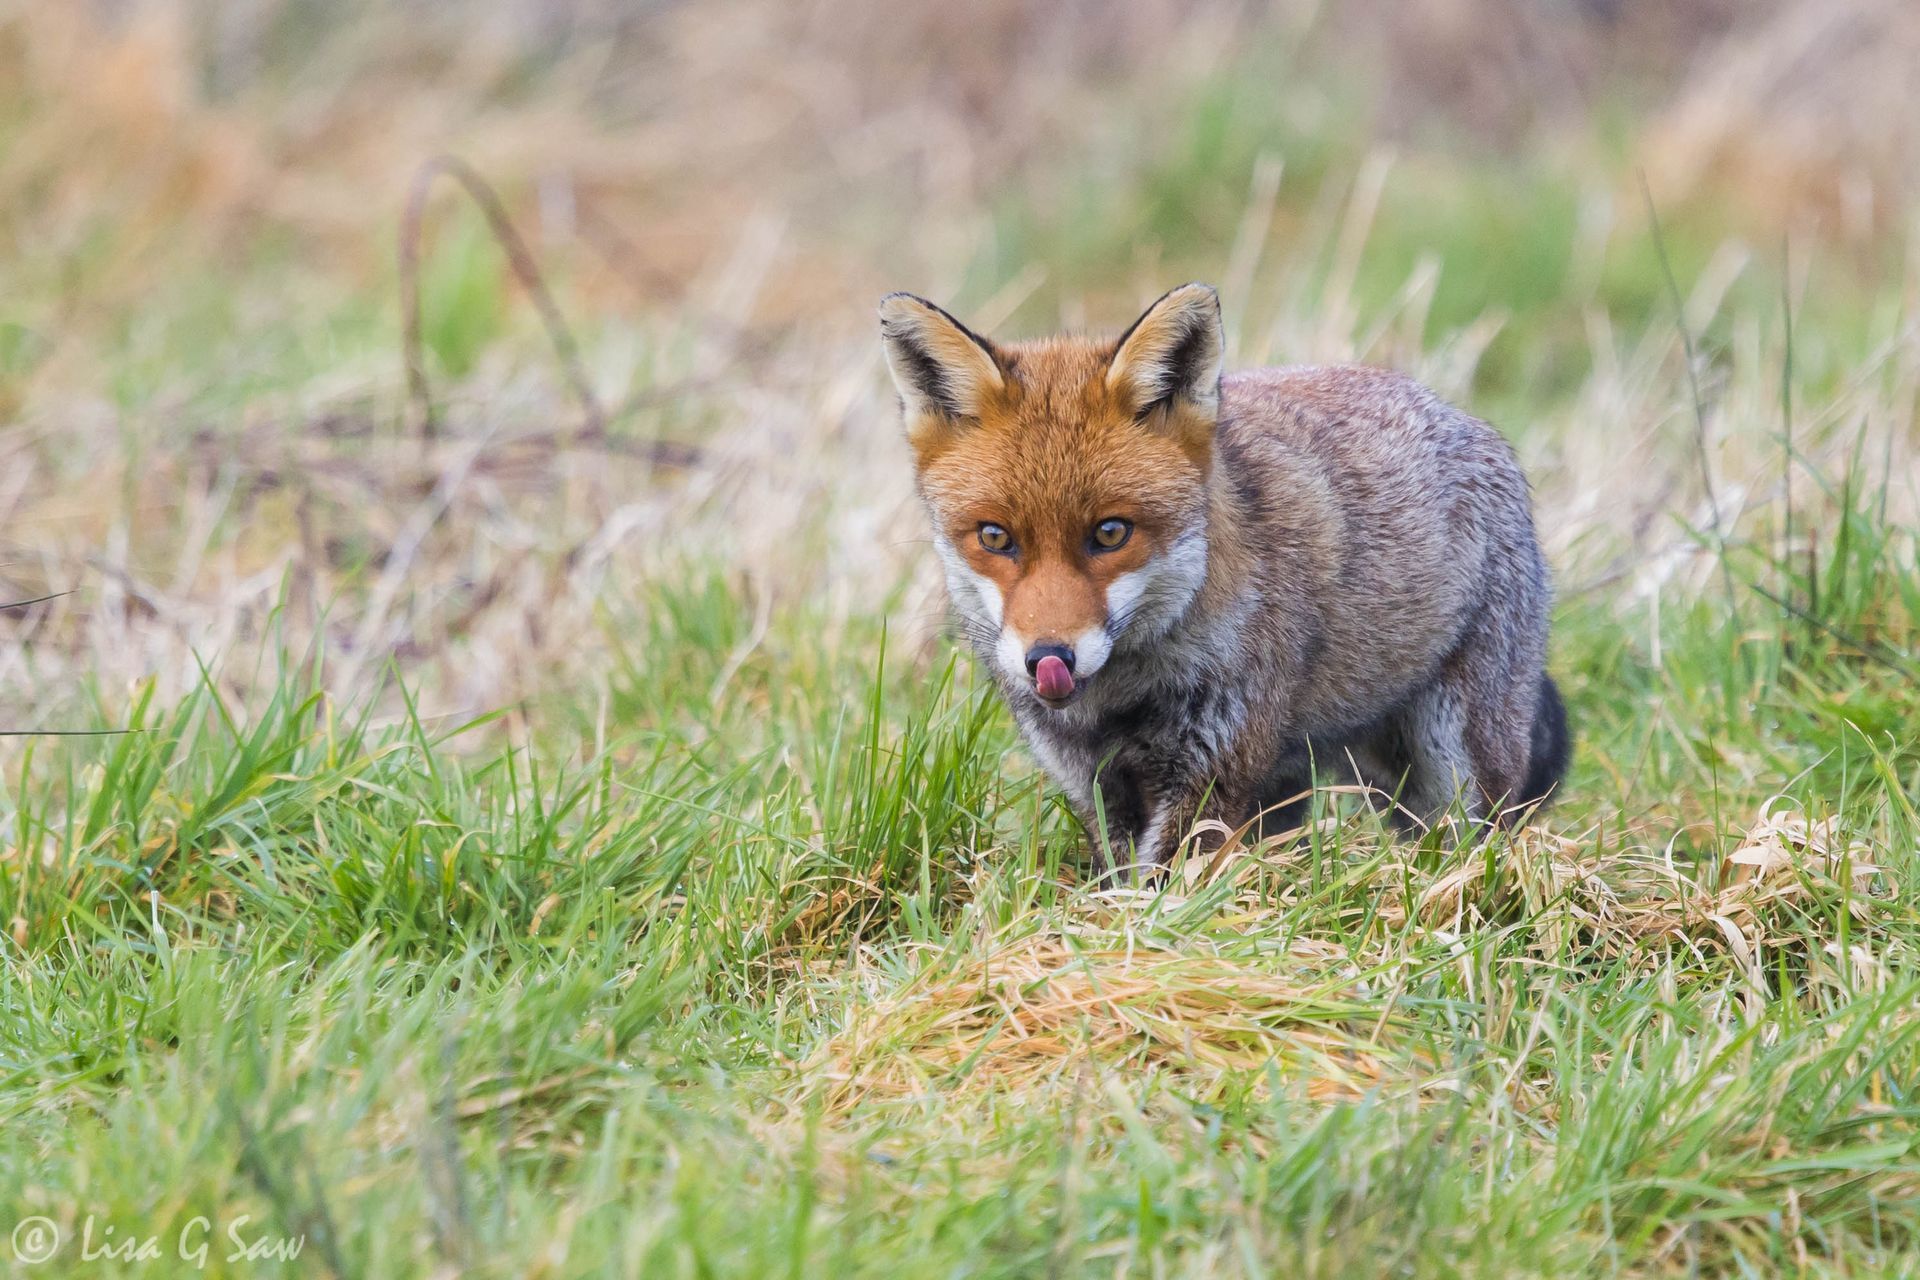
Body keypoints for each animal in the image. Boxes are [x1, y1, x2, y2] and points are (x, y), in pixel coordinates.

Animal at [879, 282, 1569, 877]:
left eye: (1111, 533)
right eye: (996, 538)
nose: (1049, 658)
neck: (1123, 698)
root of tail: (1466, 419)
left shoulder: (1214, 763)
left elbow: (1165, 883)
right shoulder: (1093, 779)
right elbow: (1122, 878)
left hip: (1454, 761)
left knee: (1472, 837)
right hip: (1311, 782)